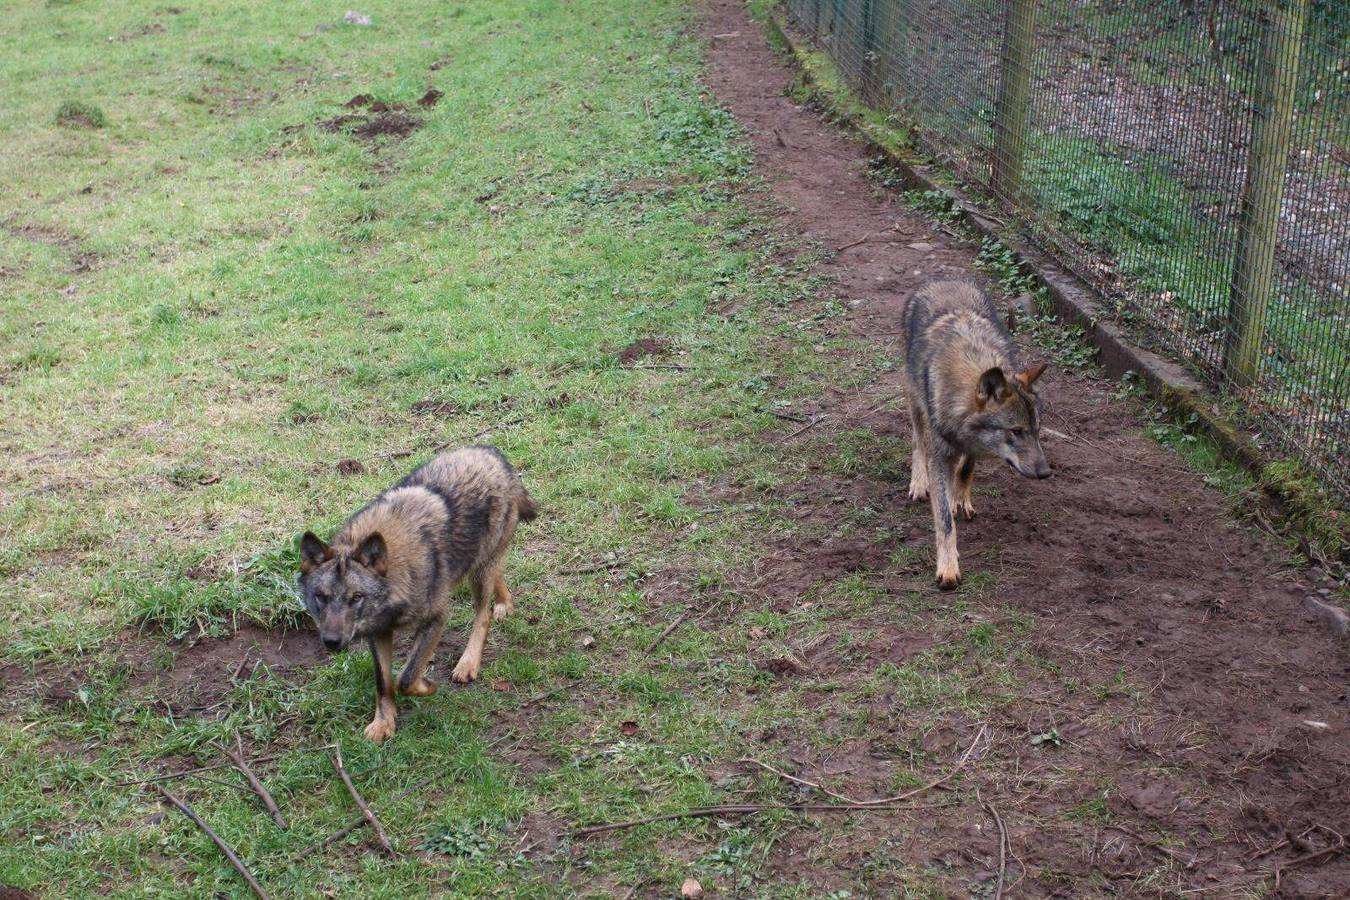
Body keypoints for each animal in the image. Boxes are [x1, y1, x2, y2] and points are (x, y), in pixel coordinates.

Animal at [299, 445, 537, 744]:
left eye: (356, 597)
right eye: (322, 597)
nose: (331, 642)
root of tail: (490, 452)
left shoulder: (437, 618)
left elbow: (406, 678)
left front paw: (428, 686)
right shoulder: (379, 632)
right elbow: (384, 682)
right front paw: (383, 724)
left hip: (478, 574)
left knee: (482, 616)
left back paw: (468, 663)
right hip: (479, 564)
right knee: (498, 574)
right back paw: (505, 604)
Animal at [901, 282, 1047, 591]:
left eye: (1037, 430)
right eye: (1016, 431)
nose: (1045, 472)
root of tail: (943, 278)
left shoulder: (974, 448)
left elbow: (966, 471)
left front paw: (960, 499)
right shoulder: (939, 456)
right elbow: (945, 522)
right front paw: (948, 569)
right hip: (915, 400)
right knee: (918, 441)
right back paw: (919, 483)